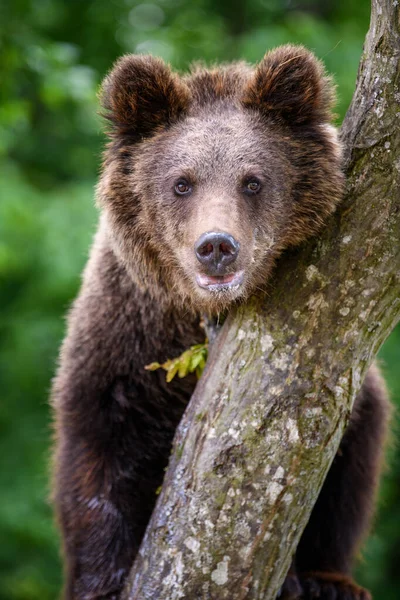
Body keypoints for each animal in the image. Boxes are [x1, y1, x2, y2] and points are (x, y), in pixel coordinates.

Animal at [50, 43, 390, 600]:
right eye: (181, 183)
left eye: (252, 181)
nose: (216, 246)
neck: (200, 316)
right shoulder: (129, 342)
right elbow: (97, 454)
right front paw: (106, 580)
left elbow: (347, 462)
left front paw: (321, 577)